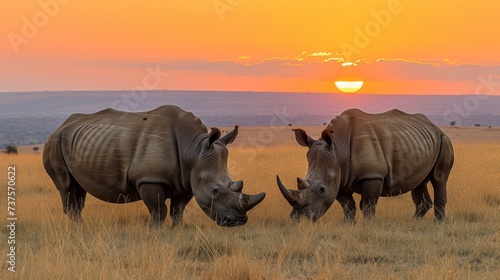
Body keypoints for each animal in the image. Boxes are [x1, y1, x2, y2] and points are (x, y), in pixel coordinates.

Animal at [44, 105, 266, 228]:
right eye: (215, 191)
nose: (239, 221)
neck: (193, 150)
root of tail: (60, 126)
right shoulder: (149, 178)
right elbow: (158, 210)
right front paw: (155, 231)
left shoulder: (187, 179)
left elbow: (178, 209)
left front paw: (177, 229)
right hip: (54, 142)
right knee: (66, 186)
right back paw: (77, 228)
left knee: (78, 189)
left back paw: (80, 226)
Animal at [276, 108, 456, 222]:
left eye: (321, 189)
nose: (299, 219)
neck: (338, 150)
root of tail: (435, 126)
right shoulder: (340, 178)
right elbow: (348, 205)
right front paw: (348, 224)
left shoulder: (372, 175)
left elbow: (368, 204)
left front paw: (368, 224)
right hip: (418, 142)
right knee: (419, 182)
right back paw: (414, 222)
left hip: (444, 140)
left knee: (439, 178)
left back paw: (439, 223)